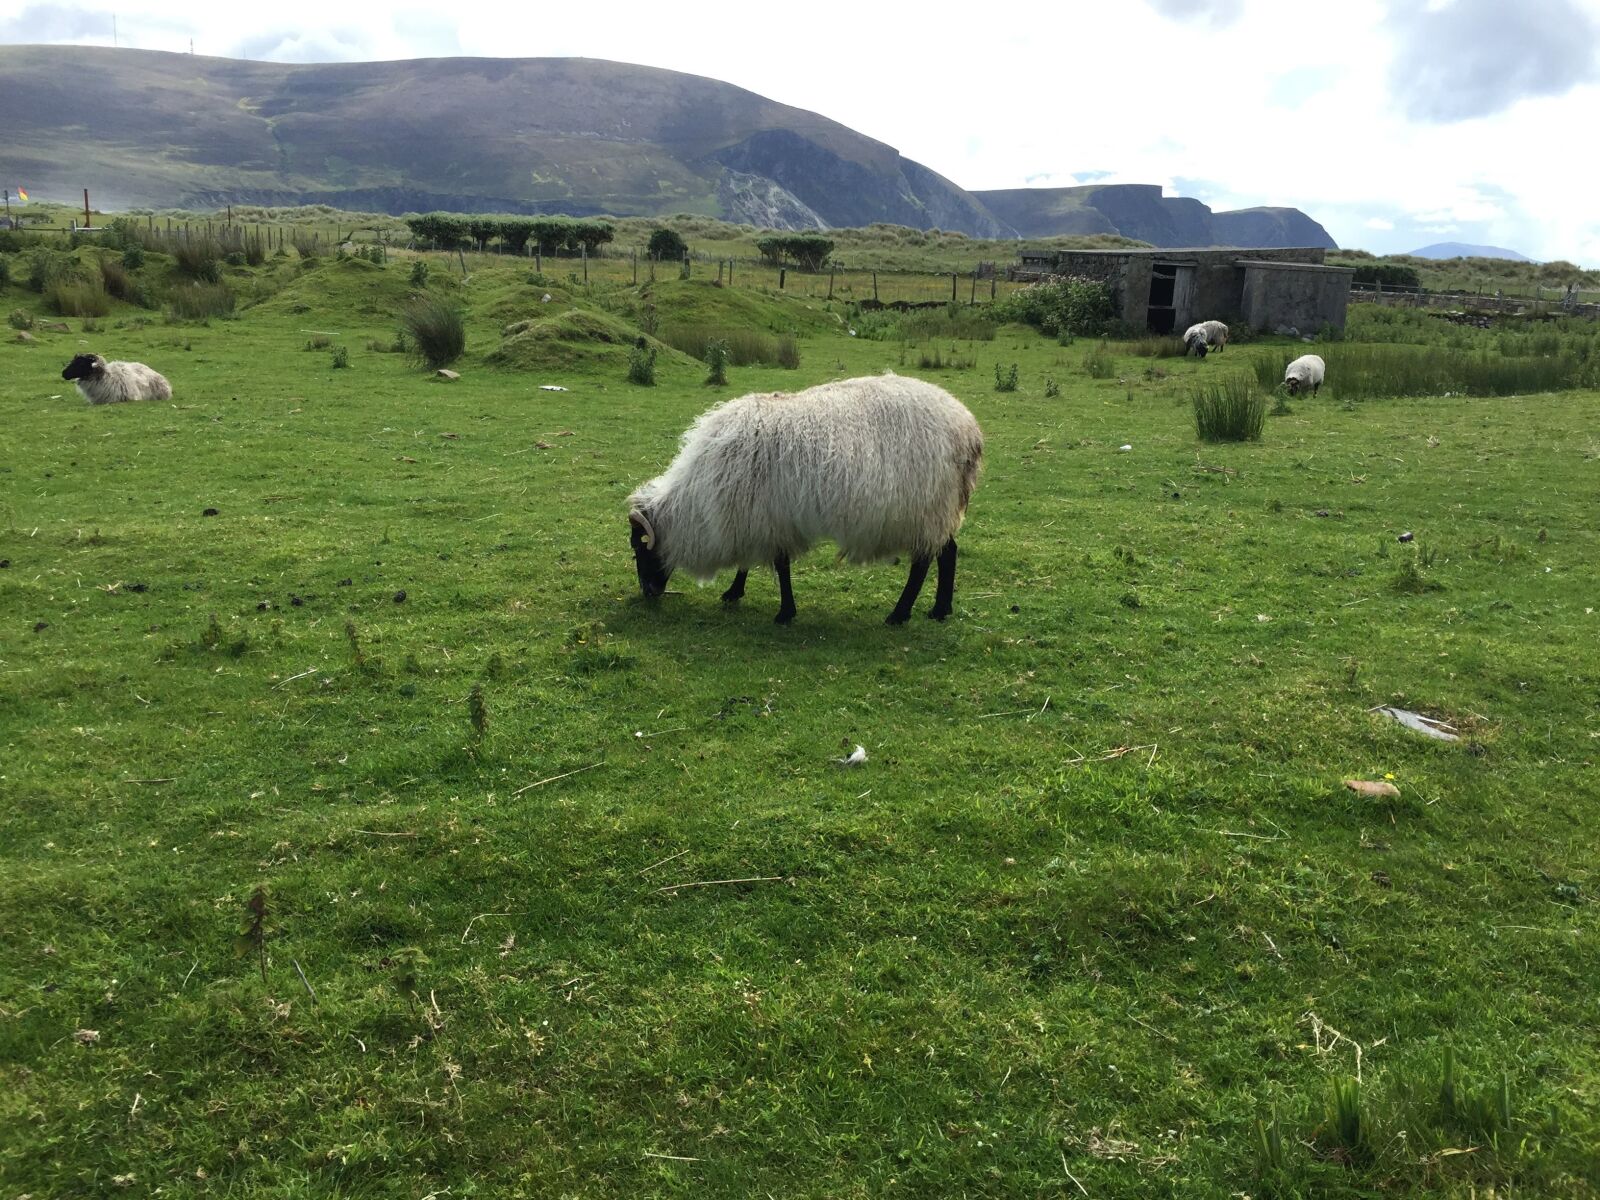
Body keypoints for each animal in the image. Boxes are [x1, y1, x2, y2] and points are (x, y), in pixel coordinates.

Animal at [628, 374, 983, 625]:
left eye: (639, 548)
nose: (648, 593)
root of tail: (969, 429)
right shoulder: (756, 516)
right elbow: (751, 562)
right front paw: (734, 592)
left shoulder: (765, 517)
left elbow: (780, 566)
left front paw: (784, 612)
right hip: (938, 509)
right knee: (948, 552)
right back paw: (940, 610)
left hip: (926, 507)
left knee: (923, 563)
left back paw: (899, 614)